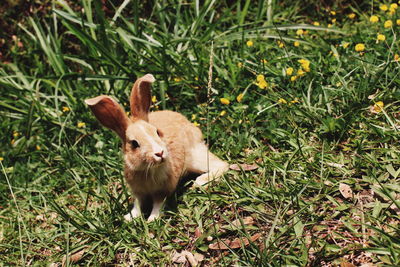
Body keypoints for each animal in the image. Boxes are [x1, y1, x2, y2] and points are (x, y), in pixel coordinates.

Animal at [85, 74, 228, 222]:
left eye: (157, 132)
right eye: (134, 143)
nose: (159, 153)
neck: (146, 170)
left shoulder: (163, 190)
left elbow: (158, 204)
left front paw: (152, 219)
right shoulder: (138, 192)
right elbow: (137, 204)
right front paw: (130, 217)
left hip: (195, 157)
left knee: (222, 165)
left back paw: (200, 181)